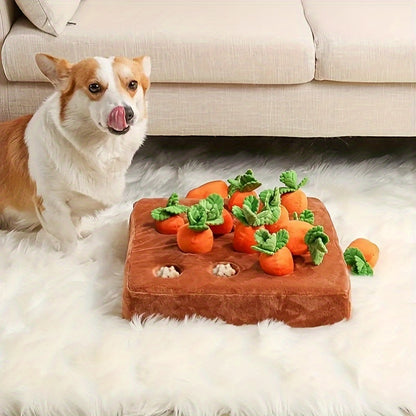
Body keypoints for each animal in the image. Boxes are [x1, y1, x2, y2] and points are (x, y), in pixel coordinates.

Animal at [0, 54, 152, 252]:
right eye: (94, 86)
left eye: (132, 84)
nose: (126, 113)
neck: (101, 148)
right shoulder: (51, 204)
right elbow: (69, 240)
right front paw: (74, 256)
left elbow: (76, 225)